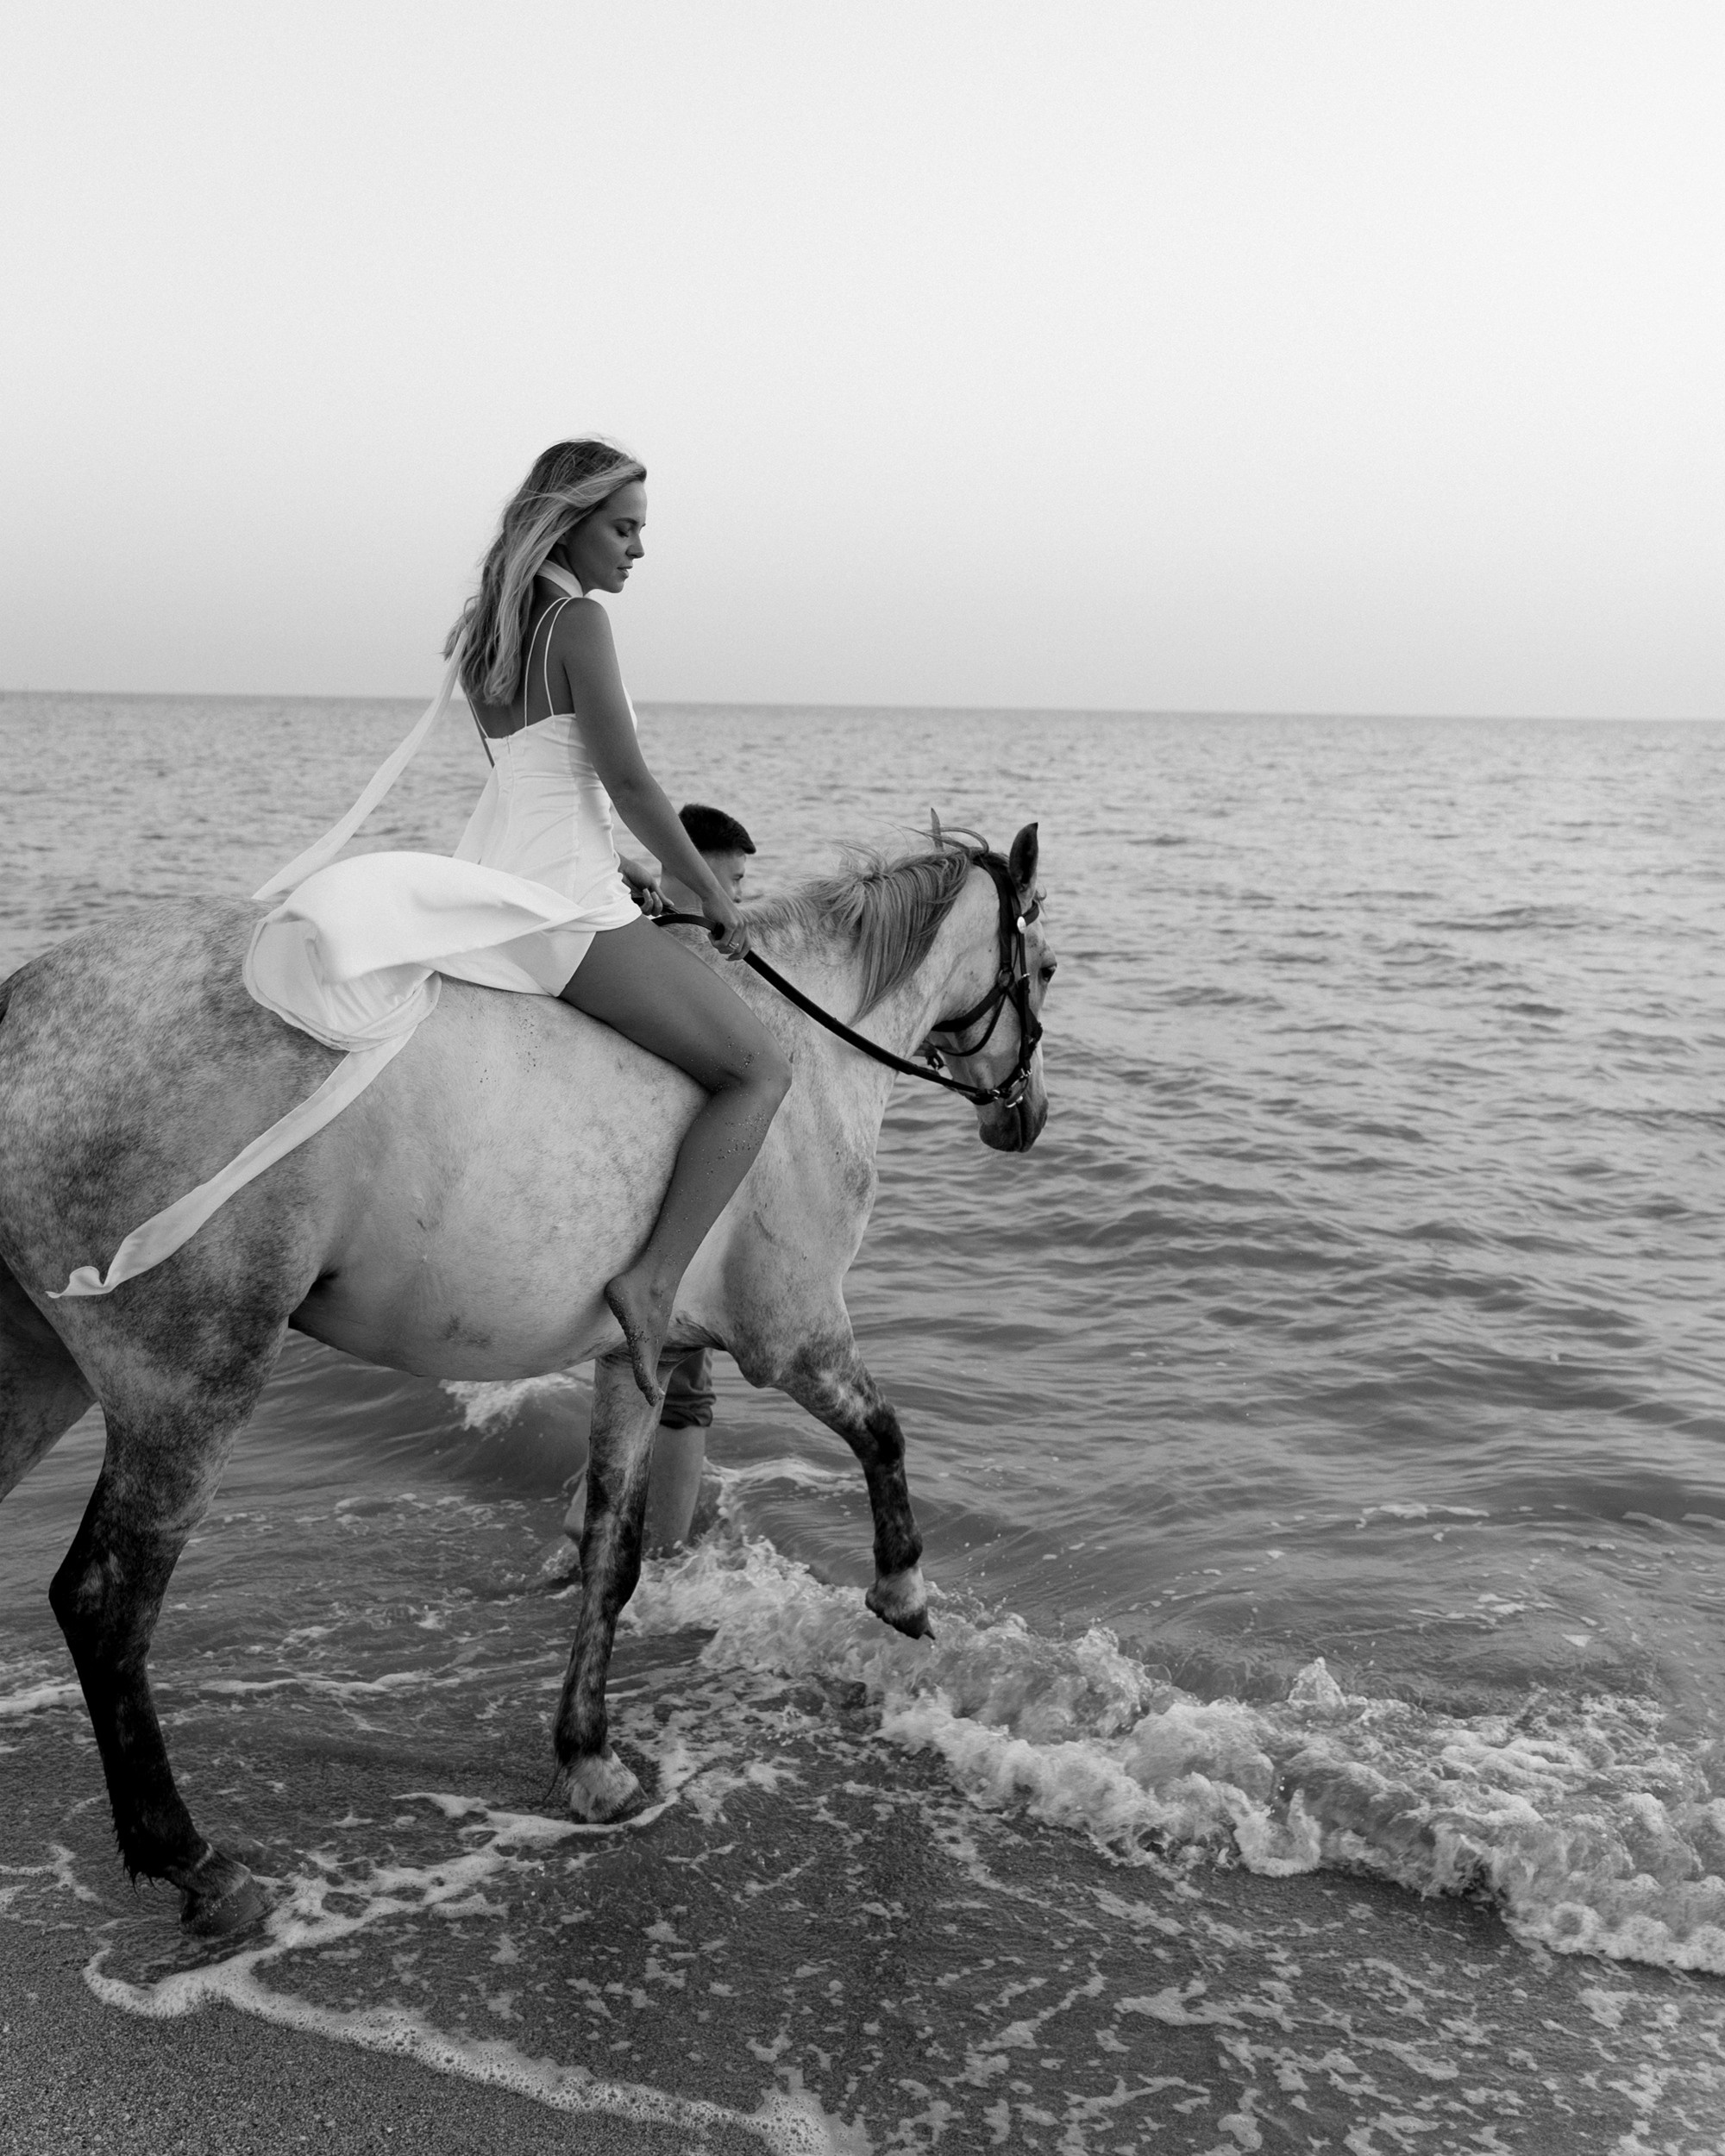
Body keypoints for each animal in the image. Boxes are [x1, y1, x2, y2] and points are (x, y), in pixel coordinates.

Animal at [0, 824, 1053, 1935]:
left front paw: (587, 1756)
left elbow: (612, 1556)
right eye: (1047, 968)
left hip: (35, 1367)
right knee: (106, 1603)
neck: (809, 1046)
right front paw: (901, 1590)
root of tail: (25, 1005)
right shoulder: (795, 1333)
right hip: (188, 1386)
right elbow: (884, 1435)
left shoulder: (641, 1357)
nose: (1024, 1115)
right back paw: (193, 1859)